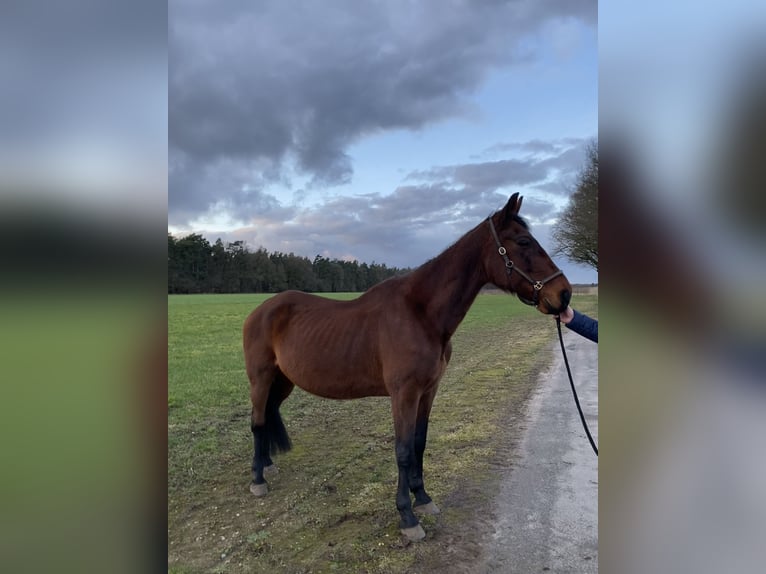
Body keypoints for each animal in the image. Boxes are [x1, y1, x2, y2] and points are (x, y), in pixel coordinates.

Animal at [243, 196, 572, 544]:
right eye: (523, 242)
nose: (564, 294)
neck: (420, 314)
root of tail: (260, 310)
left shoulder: (428, 390)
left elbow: (419, 442)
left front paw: (423, 498)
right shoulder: (404, 393)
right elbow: (402, 450)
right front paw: (407, 516)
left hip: (283, 382)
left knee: (268, 414)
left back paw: (267, 464)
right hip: (261, 378)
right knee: (257, 421)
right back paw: (258, 480)